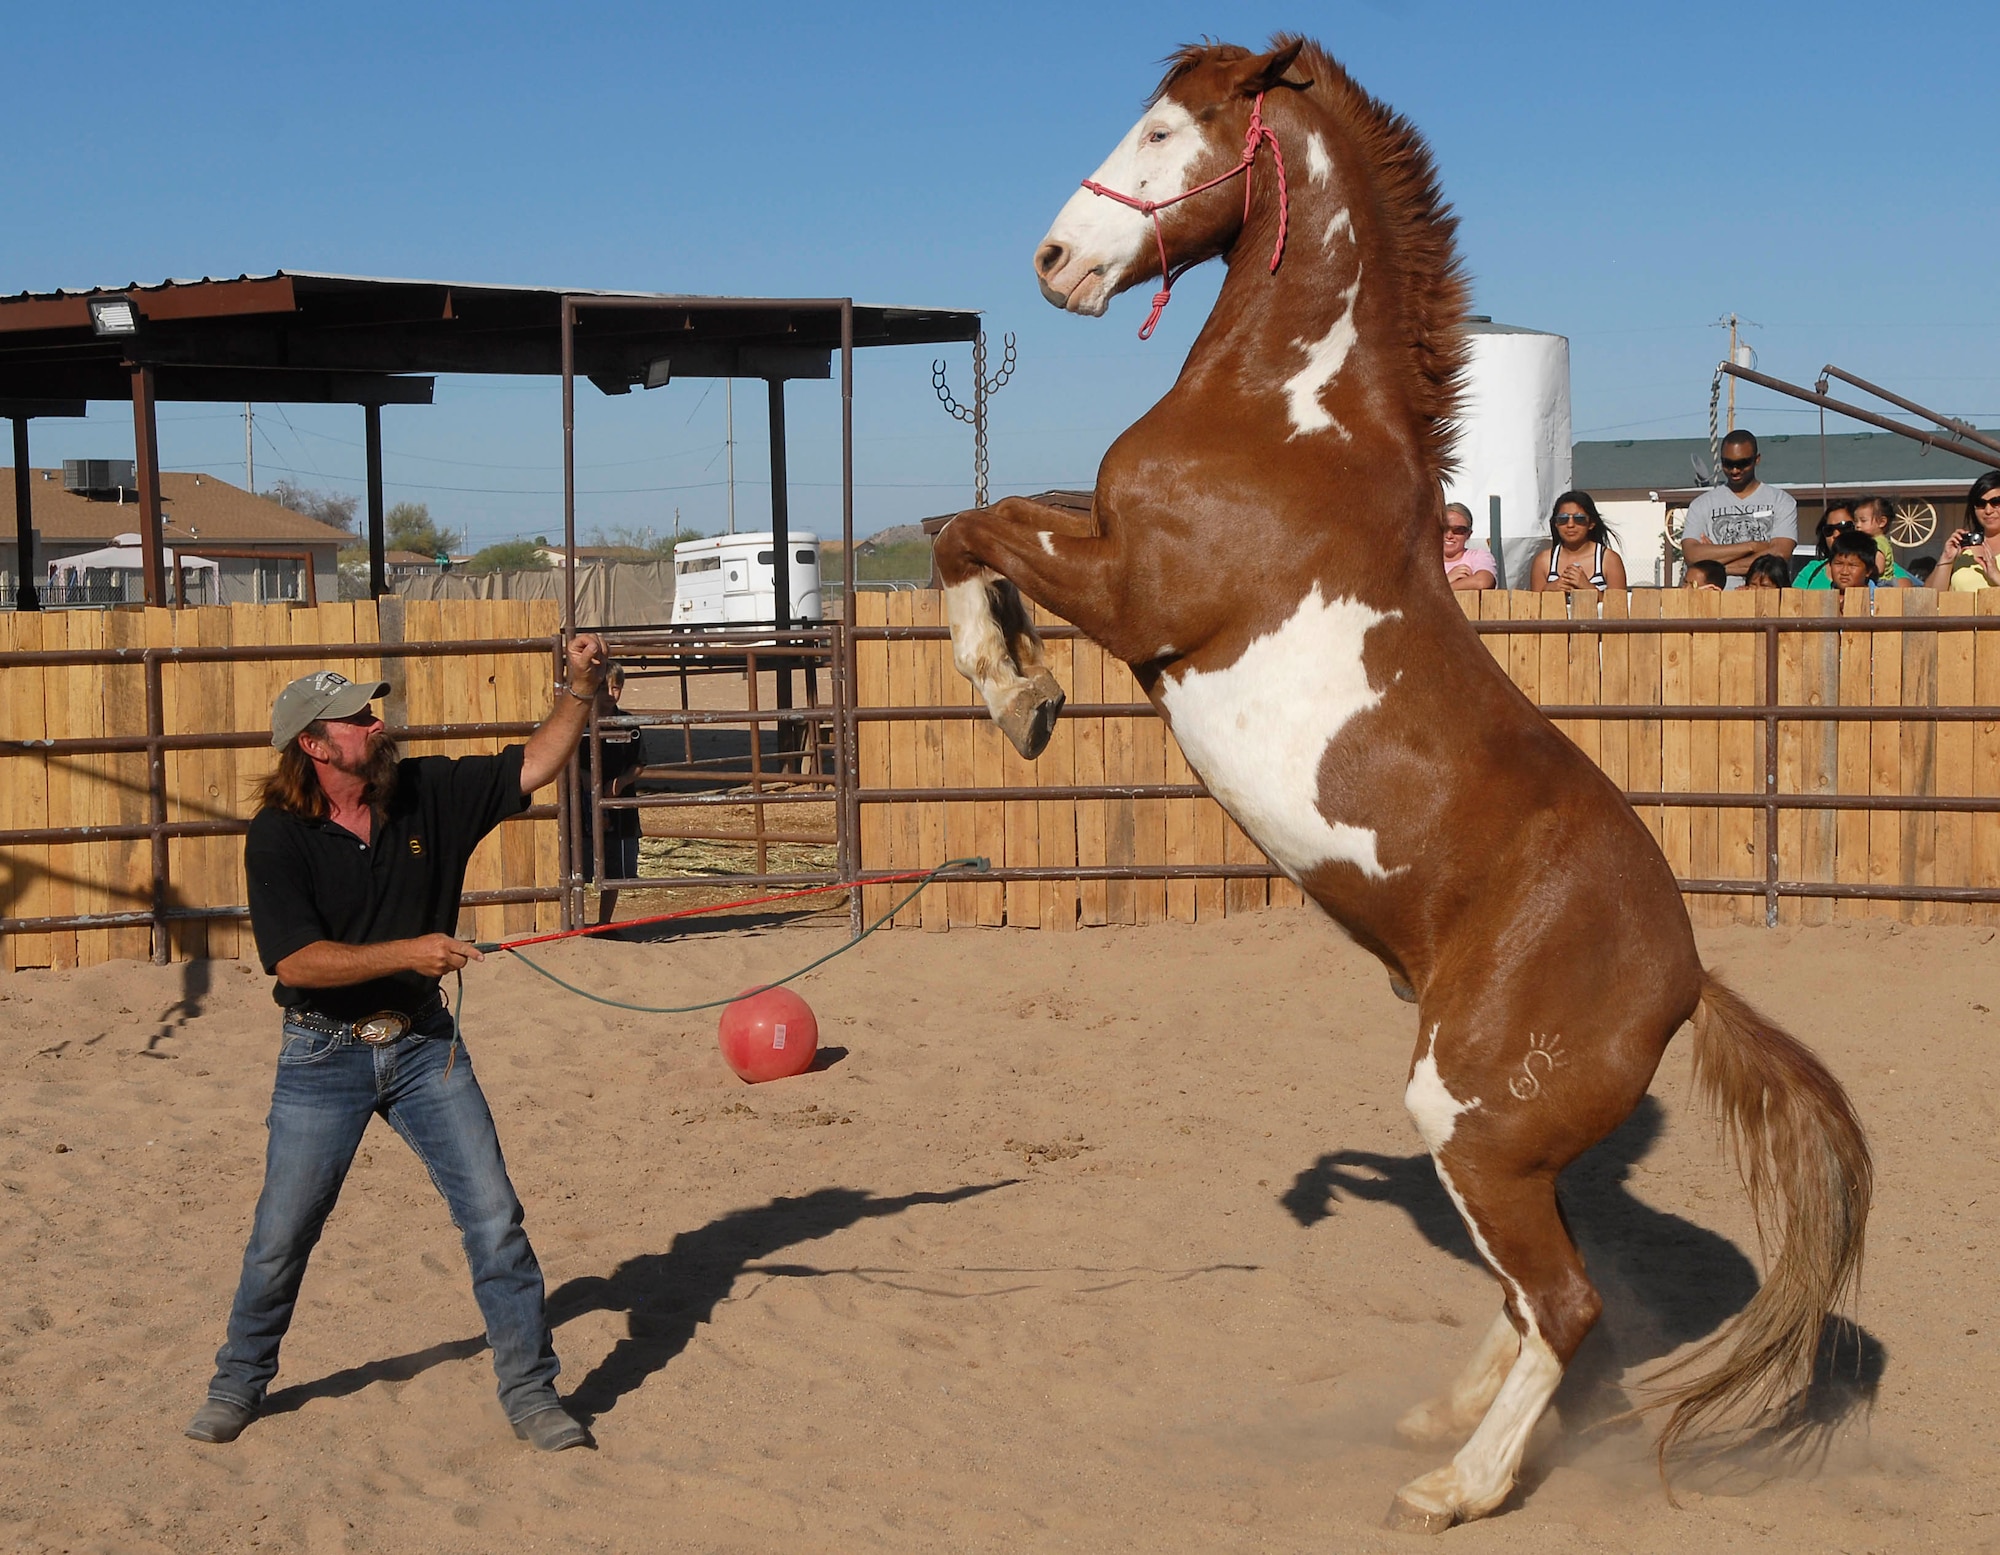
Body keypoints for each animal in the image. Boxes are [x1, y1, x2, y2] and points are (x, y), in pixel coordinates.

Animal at [933, 37, 1871, 1533]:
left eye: (1165, 129)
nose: (1054, 260)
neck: (1287, 420)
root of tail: (1688, 979)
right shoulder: (1109, 555)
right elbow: (976, 522)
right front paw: (1015, 674)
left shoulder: (1139, 589)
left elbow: (968, 526)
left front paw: (1011, 689)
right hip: (1500, 1142)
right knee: (1540, 1289)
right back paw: (1447, 1415)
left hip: (1472, 1118)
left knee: (1568, 1304)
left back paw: (1457, 1481)